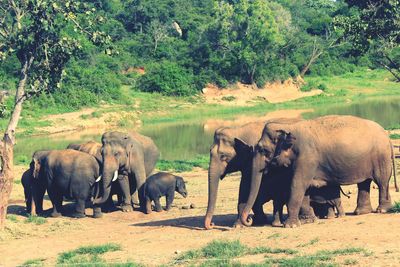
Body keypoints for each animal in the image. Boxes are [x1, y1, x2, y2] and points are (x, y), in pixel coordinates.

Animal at [241, 115, 396, 228]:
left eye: (264, 150)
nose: (249, 220)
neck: (289, 126)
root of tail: (386, 135)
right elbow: (304, 188)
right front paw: (306, 221)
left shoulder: (307, 157)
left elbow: (297, 185)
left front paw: (291, 226)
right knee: (364, 183)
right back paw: (361, 212)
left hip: (381, 156)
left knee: (381, 181)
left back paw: (382, 210)